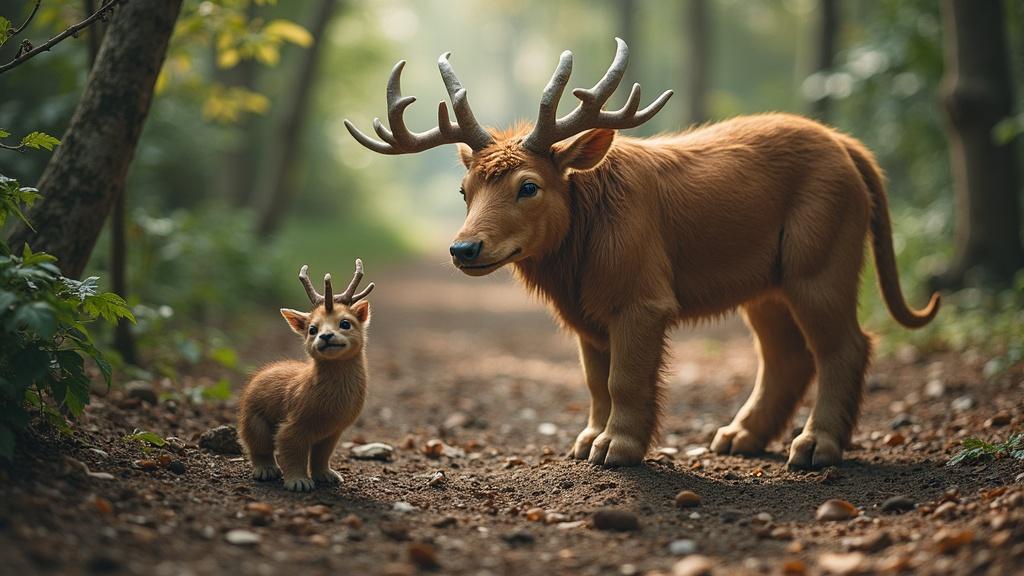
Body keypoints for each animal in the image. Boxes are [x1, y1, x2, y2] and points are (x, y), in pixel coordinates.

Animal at [238, 260, 373, 491]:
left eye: (345, 323)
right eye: (312, 329)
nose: (325, 336)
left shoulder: (332, 433)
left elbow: (321, 456)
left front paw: (326, 475)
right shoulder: (292, 427)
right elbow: (292, 454)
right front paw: (298, 482)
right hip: (254, 422)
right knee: (258, 448)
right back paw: (266, 470)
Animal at [344, 38, 939, 470]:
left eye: (528, 186)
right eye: (464, 191)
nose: (463, 248)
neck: (582, 245)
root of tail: (851, 149)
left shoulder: (641, 299)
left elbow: (626, 379)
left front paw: (619, 449)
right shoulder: (587, 315)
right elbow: (594, 382)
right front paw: (588, 441)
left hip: (822, 260)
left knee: (847, 345)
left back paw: (817, 446)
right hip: (766, 286)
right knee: (786, 356)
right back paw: (739, 436)